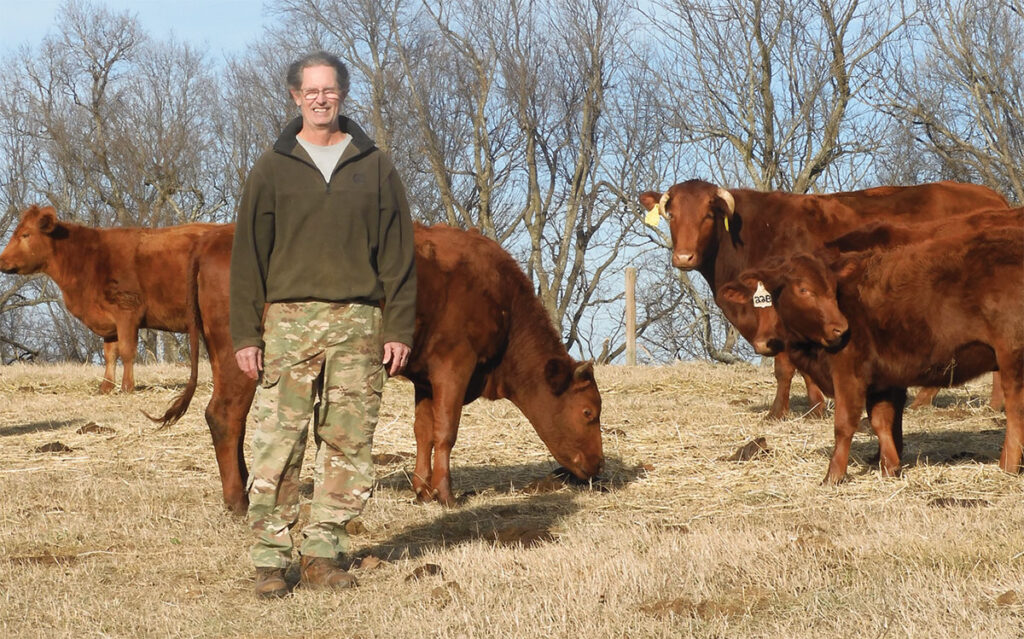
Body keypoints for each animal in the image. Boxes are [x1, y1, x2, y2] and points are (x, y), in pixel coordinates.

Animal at [0, 206, 225, 391]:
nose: (1, 261)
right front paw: (106, 386)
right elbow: (110, 354)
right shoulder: (108, 321)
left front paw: (127, 386)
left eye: (25, 234)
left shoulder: (127, 311)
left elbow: (126, 351)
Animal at [155, 222, 602, 512]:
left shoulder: (425, 375)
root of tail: (214, 237)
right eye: (588, 413)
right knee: (225, 416)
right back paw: (239, 501)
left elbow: (424, 431)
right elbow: (446, 431)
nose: (598, 467)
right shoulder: (454, 364)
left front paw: (422, 490)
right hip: (241, 361)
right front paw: (445, 495)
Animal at [638, 180, 1007, 419]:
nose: (683, 257)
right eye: (672, 215)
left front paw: (780, 412)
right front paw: (816, 406)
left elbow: (784, 366)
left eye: (708, 215)